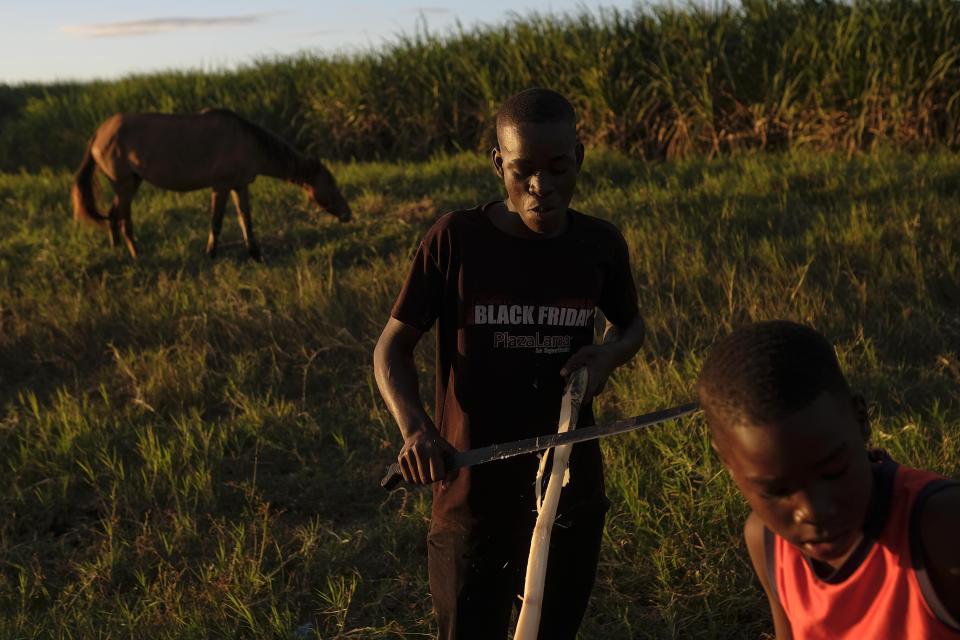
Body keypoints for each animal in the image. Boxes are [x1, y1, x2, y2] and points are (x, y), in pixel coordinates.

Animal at [71, 108, 350, 260]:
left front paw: (256, 254)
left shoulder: (240, 186)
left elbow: (245, 220)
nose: (348, 214)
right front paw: (211, 254)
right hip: (124, 184)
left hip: (131, 183)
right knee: (122, 218)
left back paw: (117, 249)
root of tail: (99, 133)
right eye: (331, 183)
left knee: (114, 215)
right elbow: (216, 222)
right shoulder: (222, 187)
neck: (247, 141)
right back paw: (136, 254)